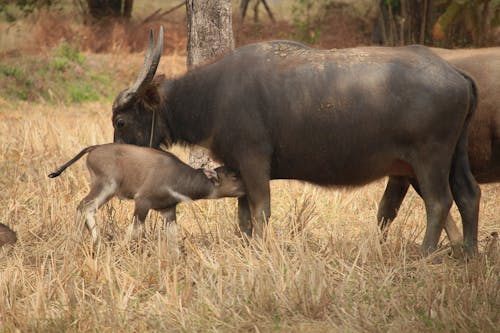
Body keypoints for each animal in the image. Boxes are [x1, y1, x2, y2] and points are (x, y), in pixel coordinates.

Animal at [110, 27, 480, 254]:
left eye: (121, 120)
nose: (118, 160)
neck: (213, 95)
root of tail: (456, 74)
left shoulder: (254, 161)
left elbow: (260, 210)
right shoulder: (238, 168)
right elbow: (243, 215)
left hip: (429, 159)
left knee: (439, 202)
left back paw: (426, 252)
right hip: (447, 159)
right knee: (468, 194)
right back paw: (468, 252)